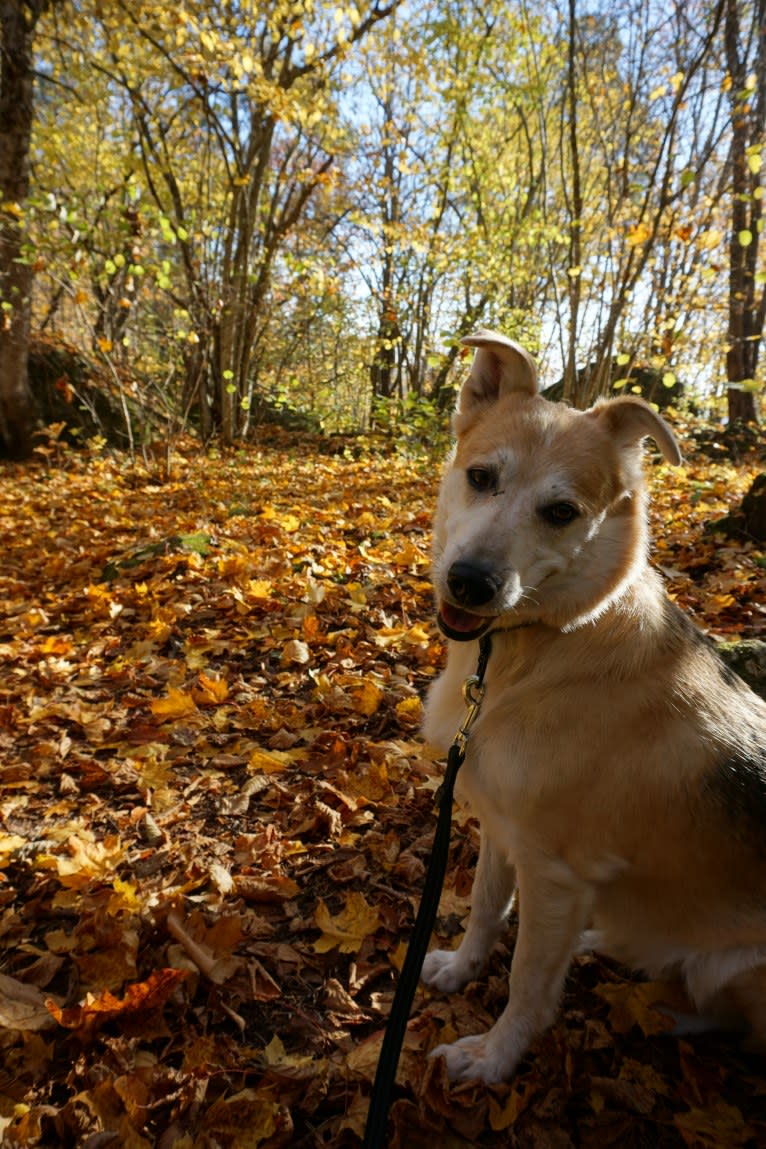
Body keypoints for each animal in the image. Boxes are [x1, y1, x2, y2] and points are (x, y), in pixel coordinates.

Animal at [422, 330, 766, 1084]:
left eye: (561, 513)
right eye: (481, 477)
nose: (471, 582)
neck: (545, 642)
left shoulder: (553, 870)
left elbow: (526, 981)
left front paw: (495, 1057)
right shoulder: (502, 831)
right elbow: (485, 911)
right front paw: (461, 968)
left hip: (737, 967)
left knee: (731, 1024)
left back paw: (655, 1009)